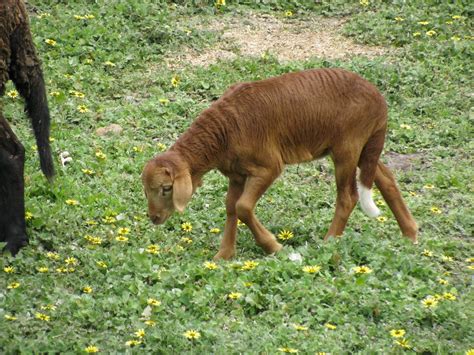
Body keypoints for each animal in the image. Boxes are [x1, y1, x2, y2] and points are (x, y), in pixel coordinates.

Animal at [142, 68, 418, 260]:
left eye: (166, 188)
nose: (154, 218)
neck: (223, 131)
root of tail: (380, 102)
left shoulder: (268, 166)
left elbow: (243, 207)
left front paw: (275, 247)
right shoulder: (236, 173)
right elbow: (231, 207)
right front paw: (223, 256)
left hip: (348, 145)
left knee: (348, 196)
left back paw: (328, 242)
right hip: (364, 145)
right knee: (384, 177)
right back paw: (411, 235)